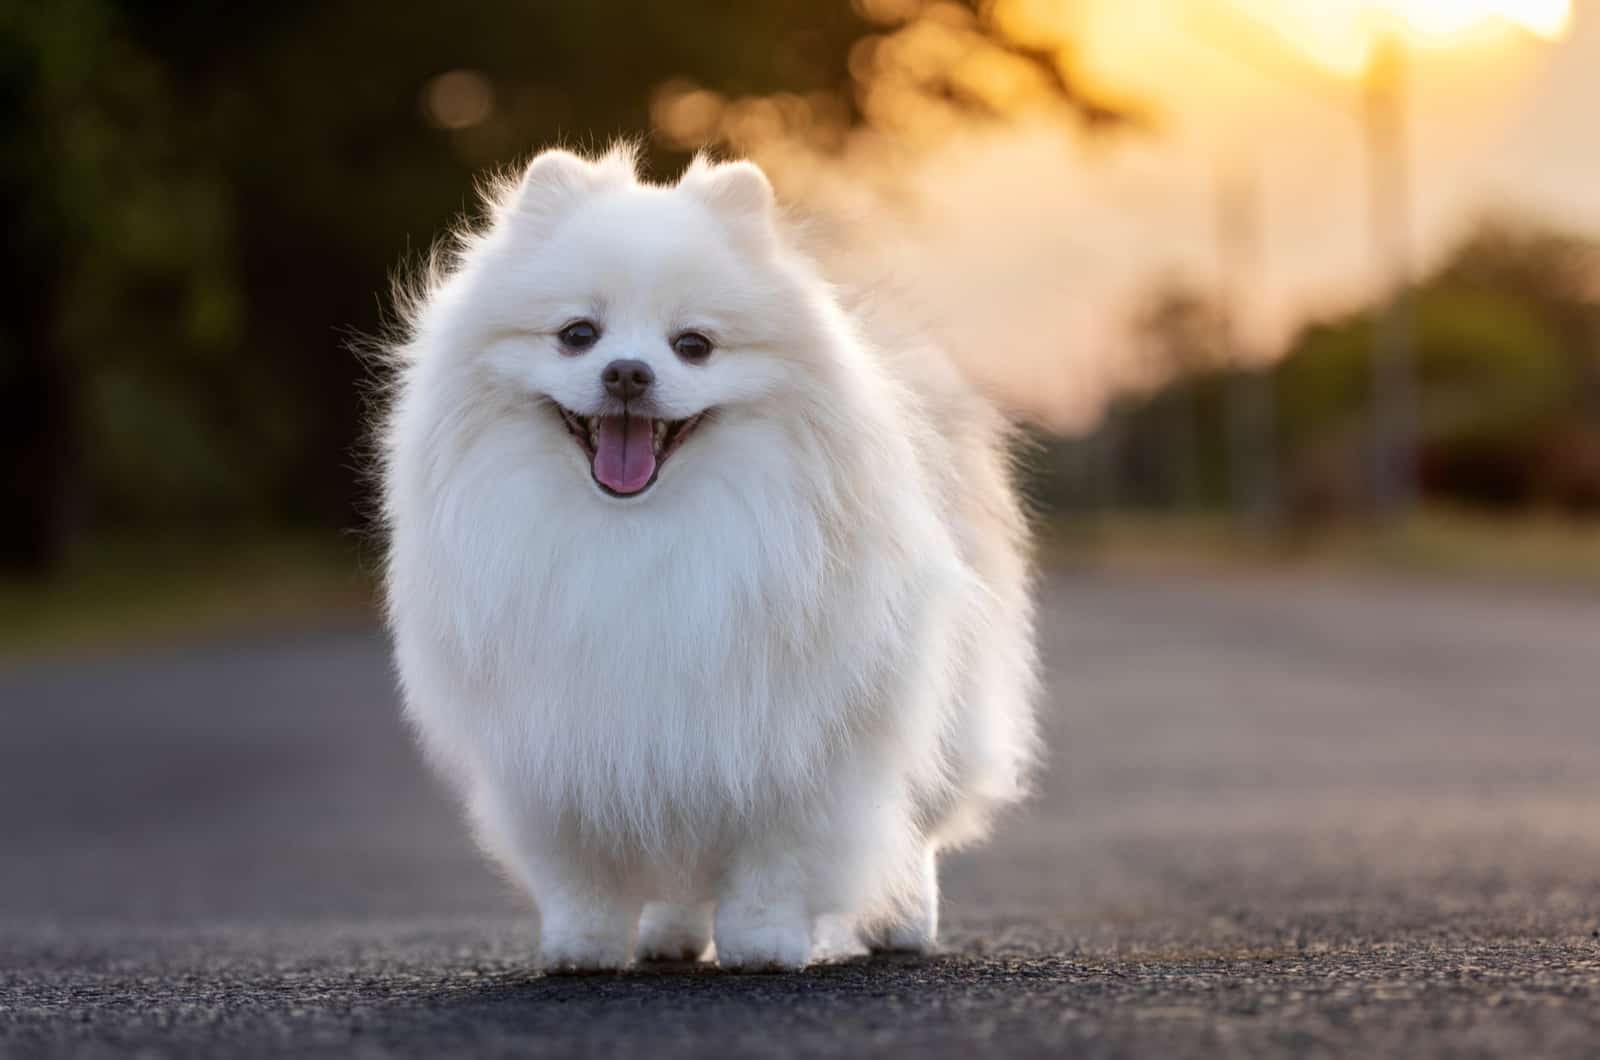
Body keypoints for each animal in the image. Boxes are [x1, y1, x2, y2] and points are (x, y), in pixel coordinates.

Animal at [382, 145, 1043, 973]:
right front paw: (582, 946)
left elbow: (774, 860)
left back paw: (901, 922)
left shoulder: (797, 740)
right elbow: (580, 867)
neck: (639, 535)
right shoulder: (559, 740)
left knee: (919, 825)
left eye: (692, 345)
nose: (627, 372)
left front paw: (765, 944)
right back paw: (670, 936)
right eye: (577, 334)